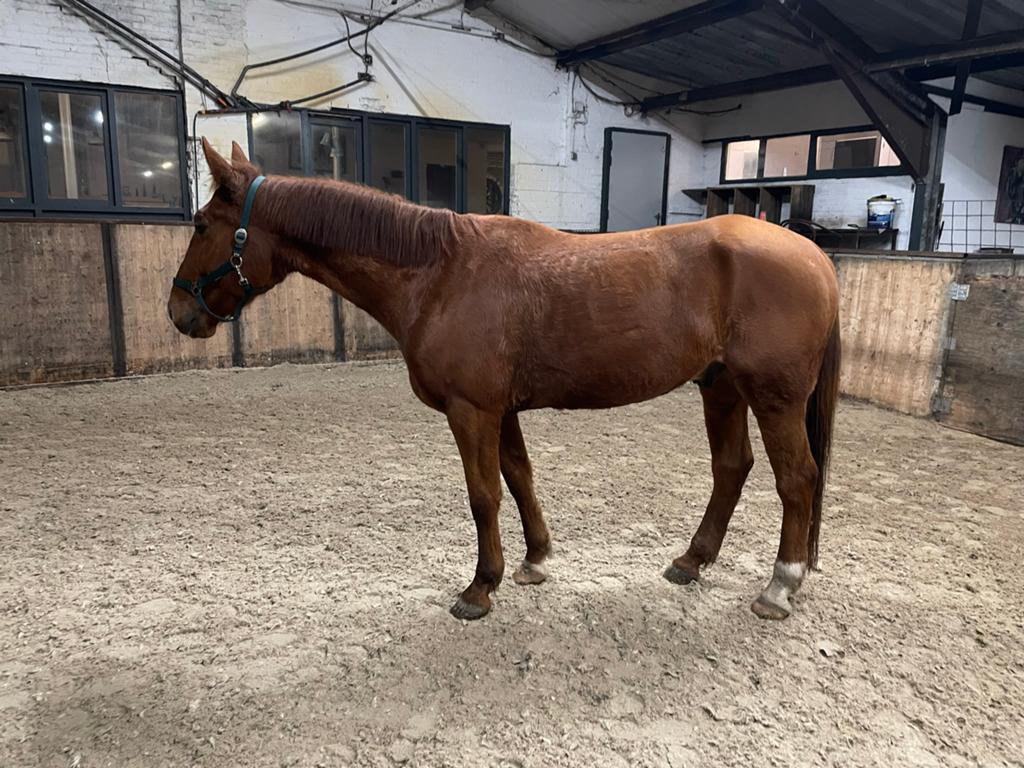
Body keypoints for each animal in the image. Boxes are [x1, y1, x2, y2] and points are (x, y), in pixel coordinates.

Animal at [168, 138, 841, 622]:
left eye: (201, 225)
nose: (178, 312)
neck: (441, 274)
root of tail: (815, 257)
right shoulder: (502, 409)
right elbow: (519, 479)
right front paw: (535, 560)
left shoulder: (471, 410)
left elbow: (483, 495)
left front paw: (479, 588)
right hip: (720, 388)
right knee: (732, 468)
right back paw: (691, 561)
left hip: (774, 398)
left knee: (797, 480)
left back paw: (779, 587)